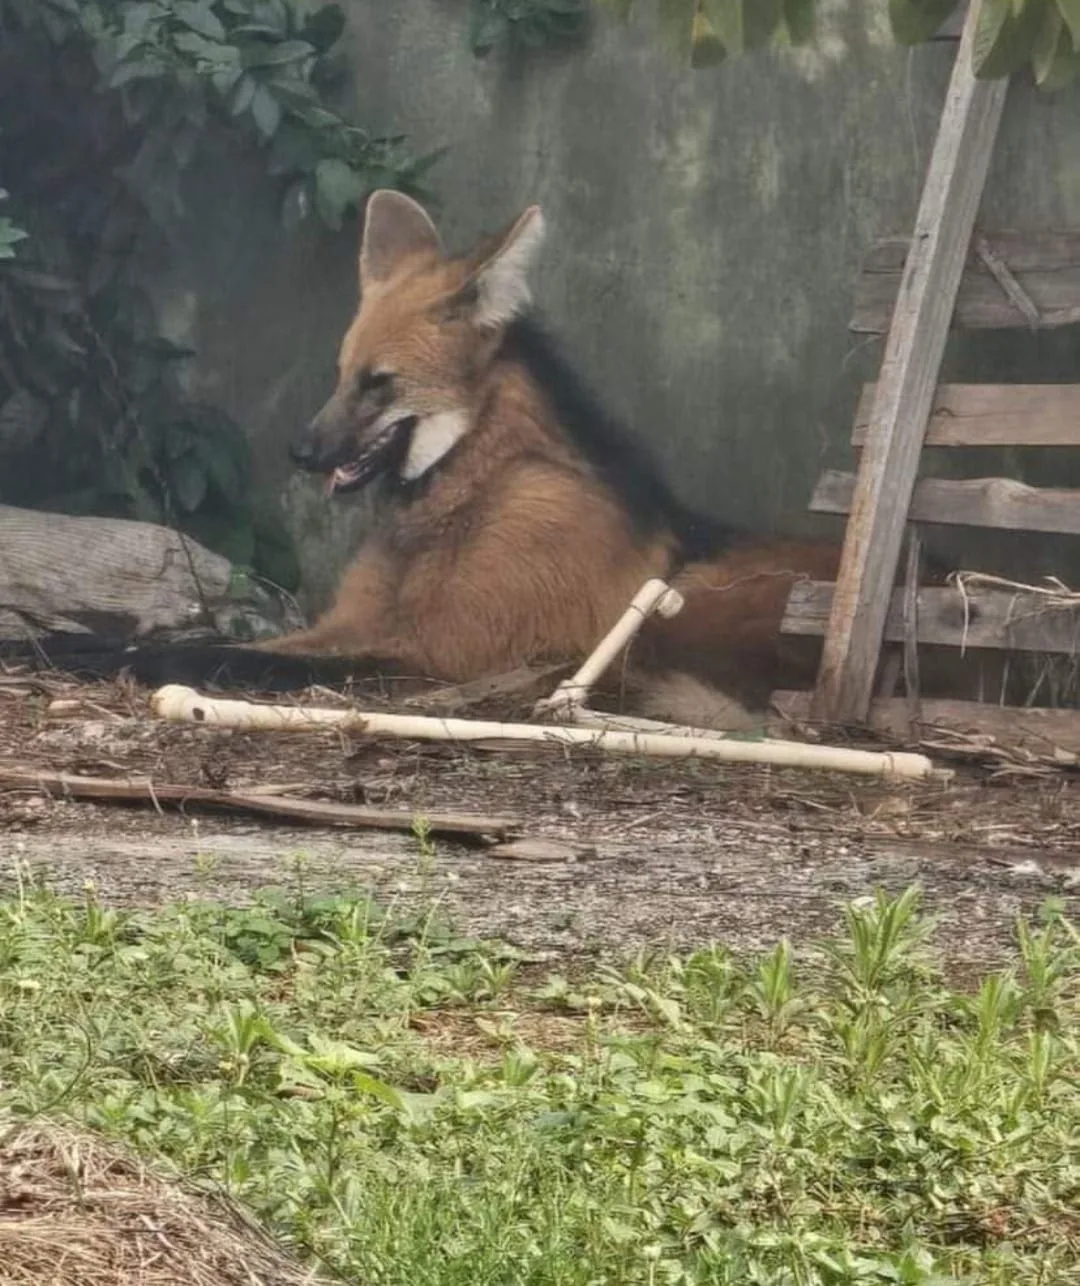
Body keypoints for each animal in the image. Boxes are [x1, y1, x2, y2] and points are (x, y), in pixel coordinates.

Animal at [255, 192, 843, 735]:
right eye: (342, 375)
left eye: (379, 383)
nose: (300, 452)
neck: (469, 488)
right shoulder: (356, 621)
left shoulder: (445, 647)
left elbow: (256, 657)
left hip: (676, 610)